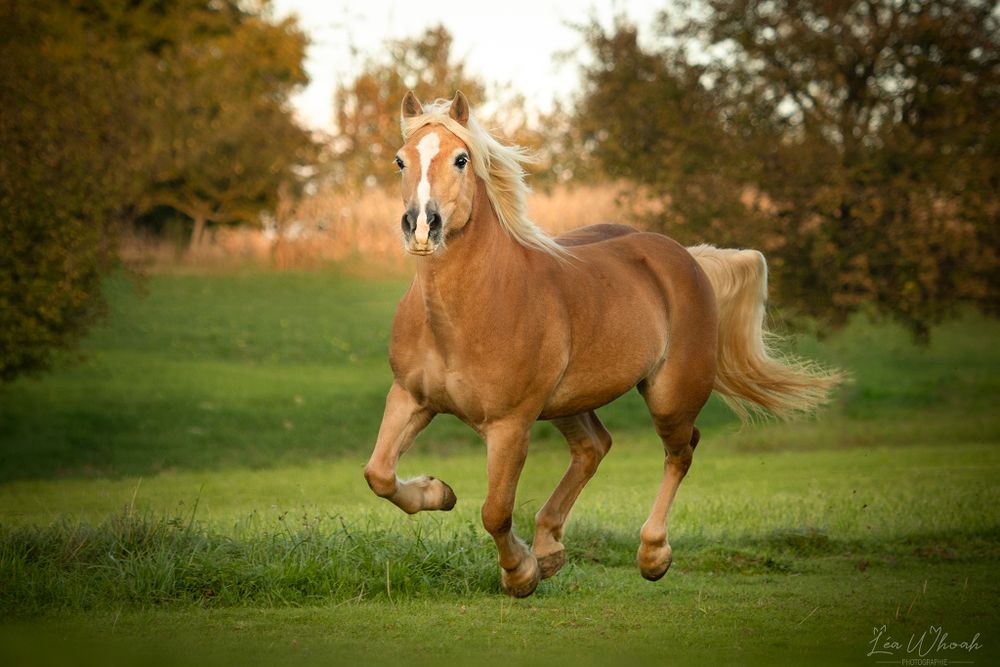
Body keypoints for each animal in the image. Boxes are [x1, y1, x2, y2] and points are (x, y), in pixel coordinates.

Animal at [363, 91, 841, 597]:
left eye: (461, 159)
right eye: (400, 160)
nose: (421, 226)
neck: (468, 313)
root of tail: (686, 257)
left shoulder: (510, 425)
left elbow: (495, 511)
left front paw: (520, 574)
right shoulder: (410, 398)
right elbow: (379, 474)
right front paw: (441, 492)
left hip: (669, 397)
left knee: (681, 450)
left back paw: (651, 555)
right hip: (567, 401)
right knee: (595, 446)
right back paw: (551, 548)